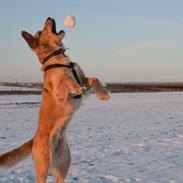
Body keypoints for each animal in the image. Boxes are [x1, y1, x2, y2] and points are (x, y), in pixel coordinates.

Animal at [0, 16, 108, 182]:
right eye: (40, 31)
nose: (49, 17)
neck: (57, 58)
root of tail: (34, 139)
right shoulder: (59, 90)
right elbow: (67, 81)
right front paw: (76, 88)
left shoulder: (82, 77)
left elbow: (95, 79)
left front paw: (103, 94)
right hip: (43, 166)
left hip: (65, 163)